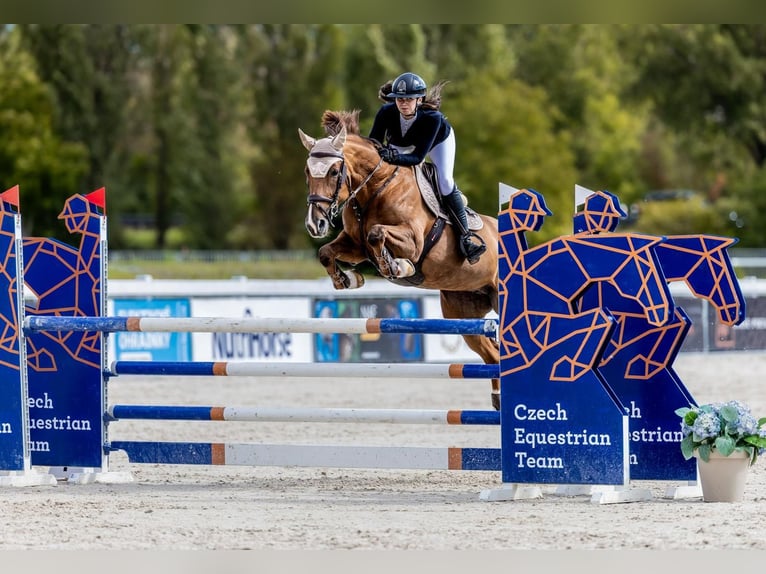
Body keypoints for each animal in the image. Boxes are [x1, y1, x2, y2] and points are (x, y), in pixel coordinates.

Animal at [299, 110, 501, 409]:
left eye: (334, 171)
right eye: (307, 172)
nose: (316, 224)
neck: (374, 189)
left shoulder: (413, 242)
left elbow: (377, 234)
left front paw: (396, 267)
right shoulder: (355, 245)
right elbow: (327, 252)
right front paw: (348, 279)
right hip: (463, 312)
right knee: (493, 355)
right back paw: (498, 400)